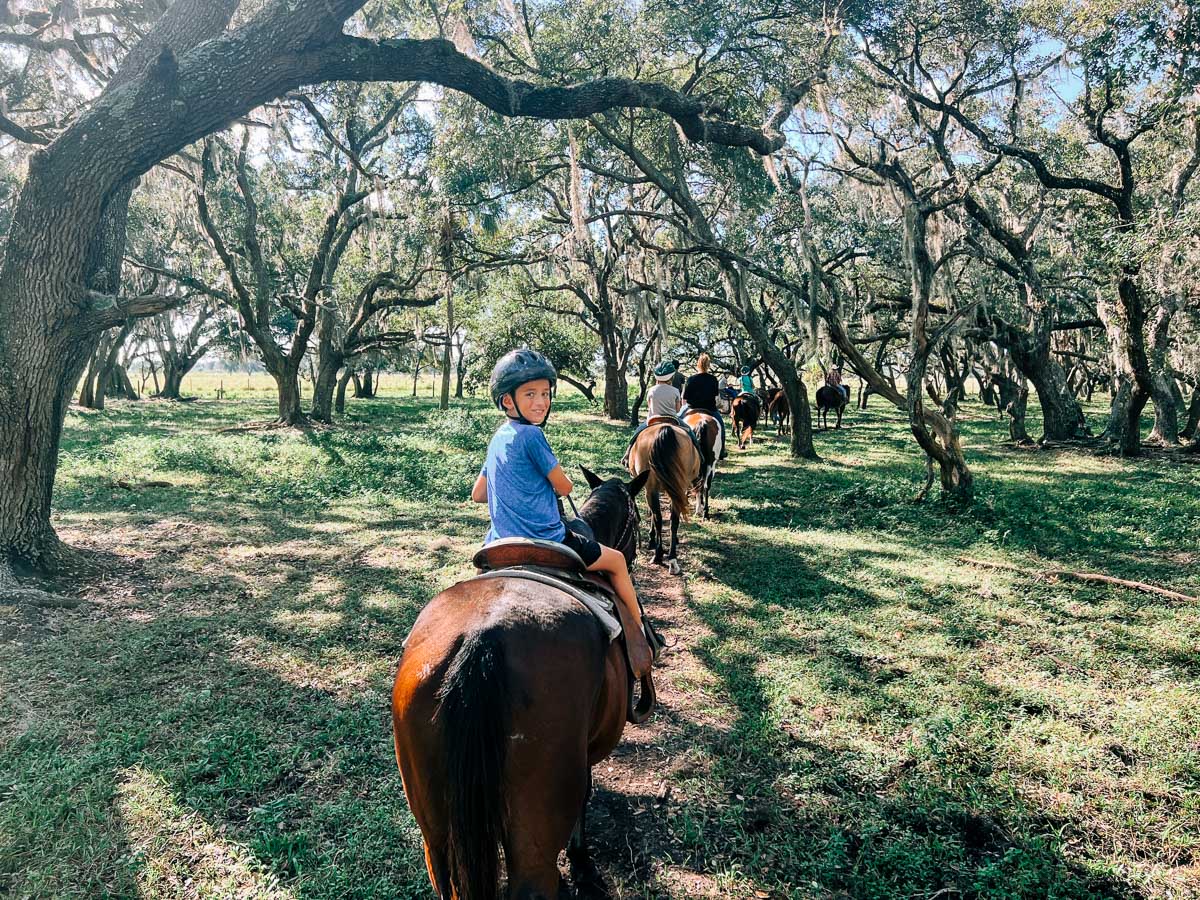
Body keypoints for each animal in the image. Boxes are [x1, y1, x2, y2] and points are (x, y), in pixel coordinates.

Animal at [391, 472, 648, 900]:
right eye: (638, 520)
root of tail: (483, 638)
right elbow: (584, 798)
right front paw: (581, 863)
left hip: (436, 836)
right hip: (533, 835)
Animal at [628, 422, 700, 578]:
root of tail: (664, 428)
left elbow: (653, 515)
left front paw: (651, 540)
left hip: (651, 489)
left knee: (658, 518)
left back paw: (658, 555)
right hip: (677, 487)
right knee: (673, 520)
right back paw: (672, 558)